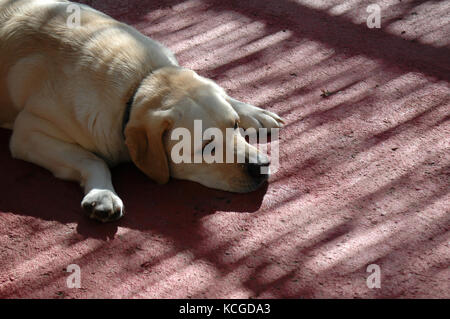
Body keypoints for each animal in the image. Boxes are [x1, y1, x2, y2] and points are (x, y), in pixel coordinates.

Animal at [0, 0, 284, 224]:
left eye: (234, 125)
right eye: (207, 147)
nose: (262, 166)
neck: (140, 82)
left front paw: (250, 111)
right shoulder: (29, 131)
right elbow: (92, 159)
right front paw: (103, 194)